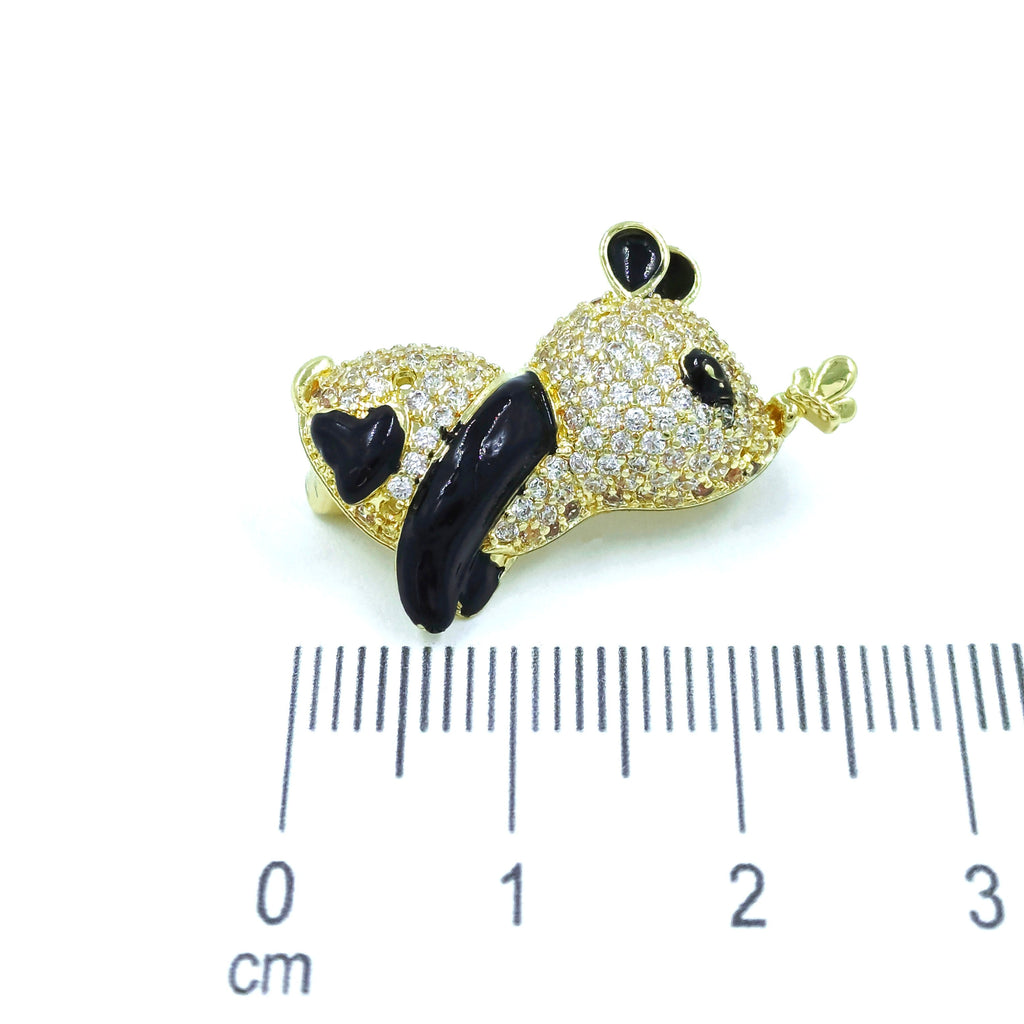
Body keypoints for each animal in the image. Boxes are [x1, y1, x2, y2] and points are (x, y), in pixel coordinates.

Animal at [293, 222, 856, 632]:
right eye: (709, 373)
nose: (768, 417)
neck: (560, 409)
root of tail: (311, 387)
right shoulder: (498, 442)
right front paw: (431, 614)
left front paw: (813, 398)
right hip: (363, 432)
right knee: (363, 442)